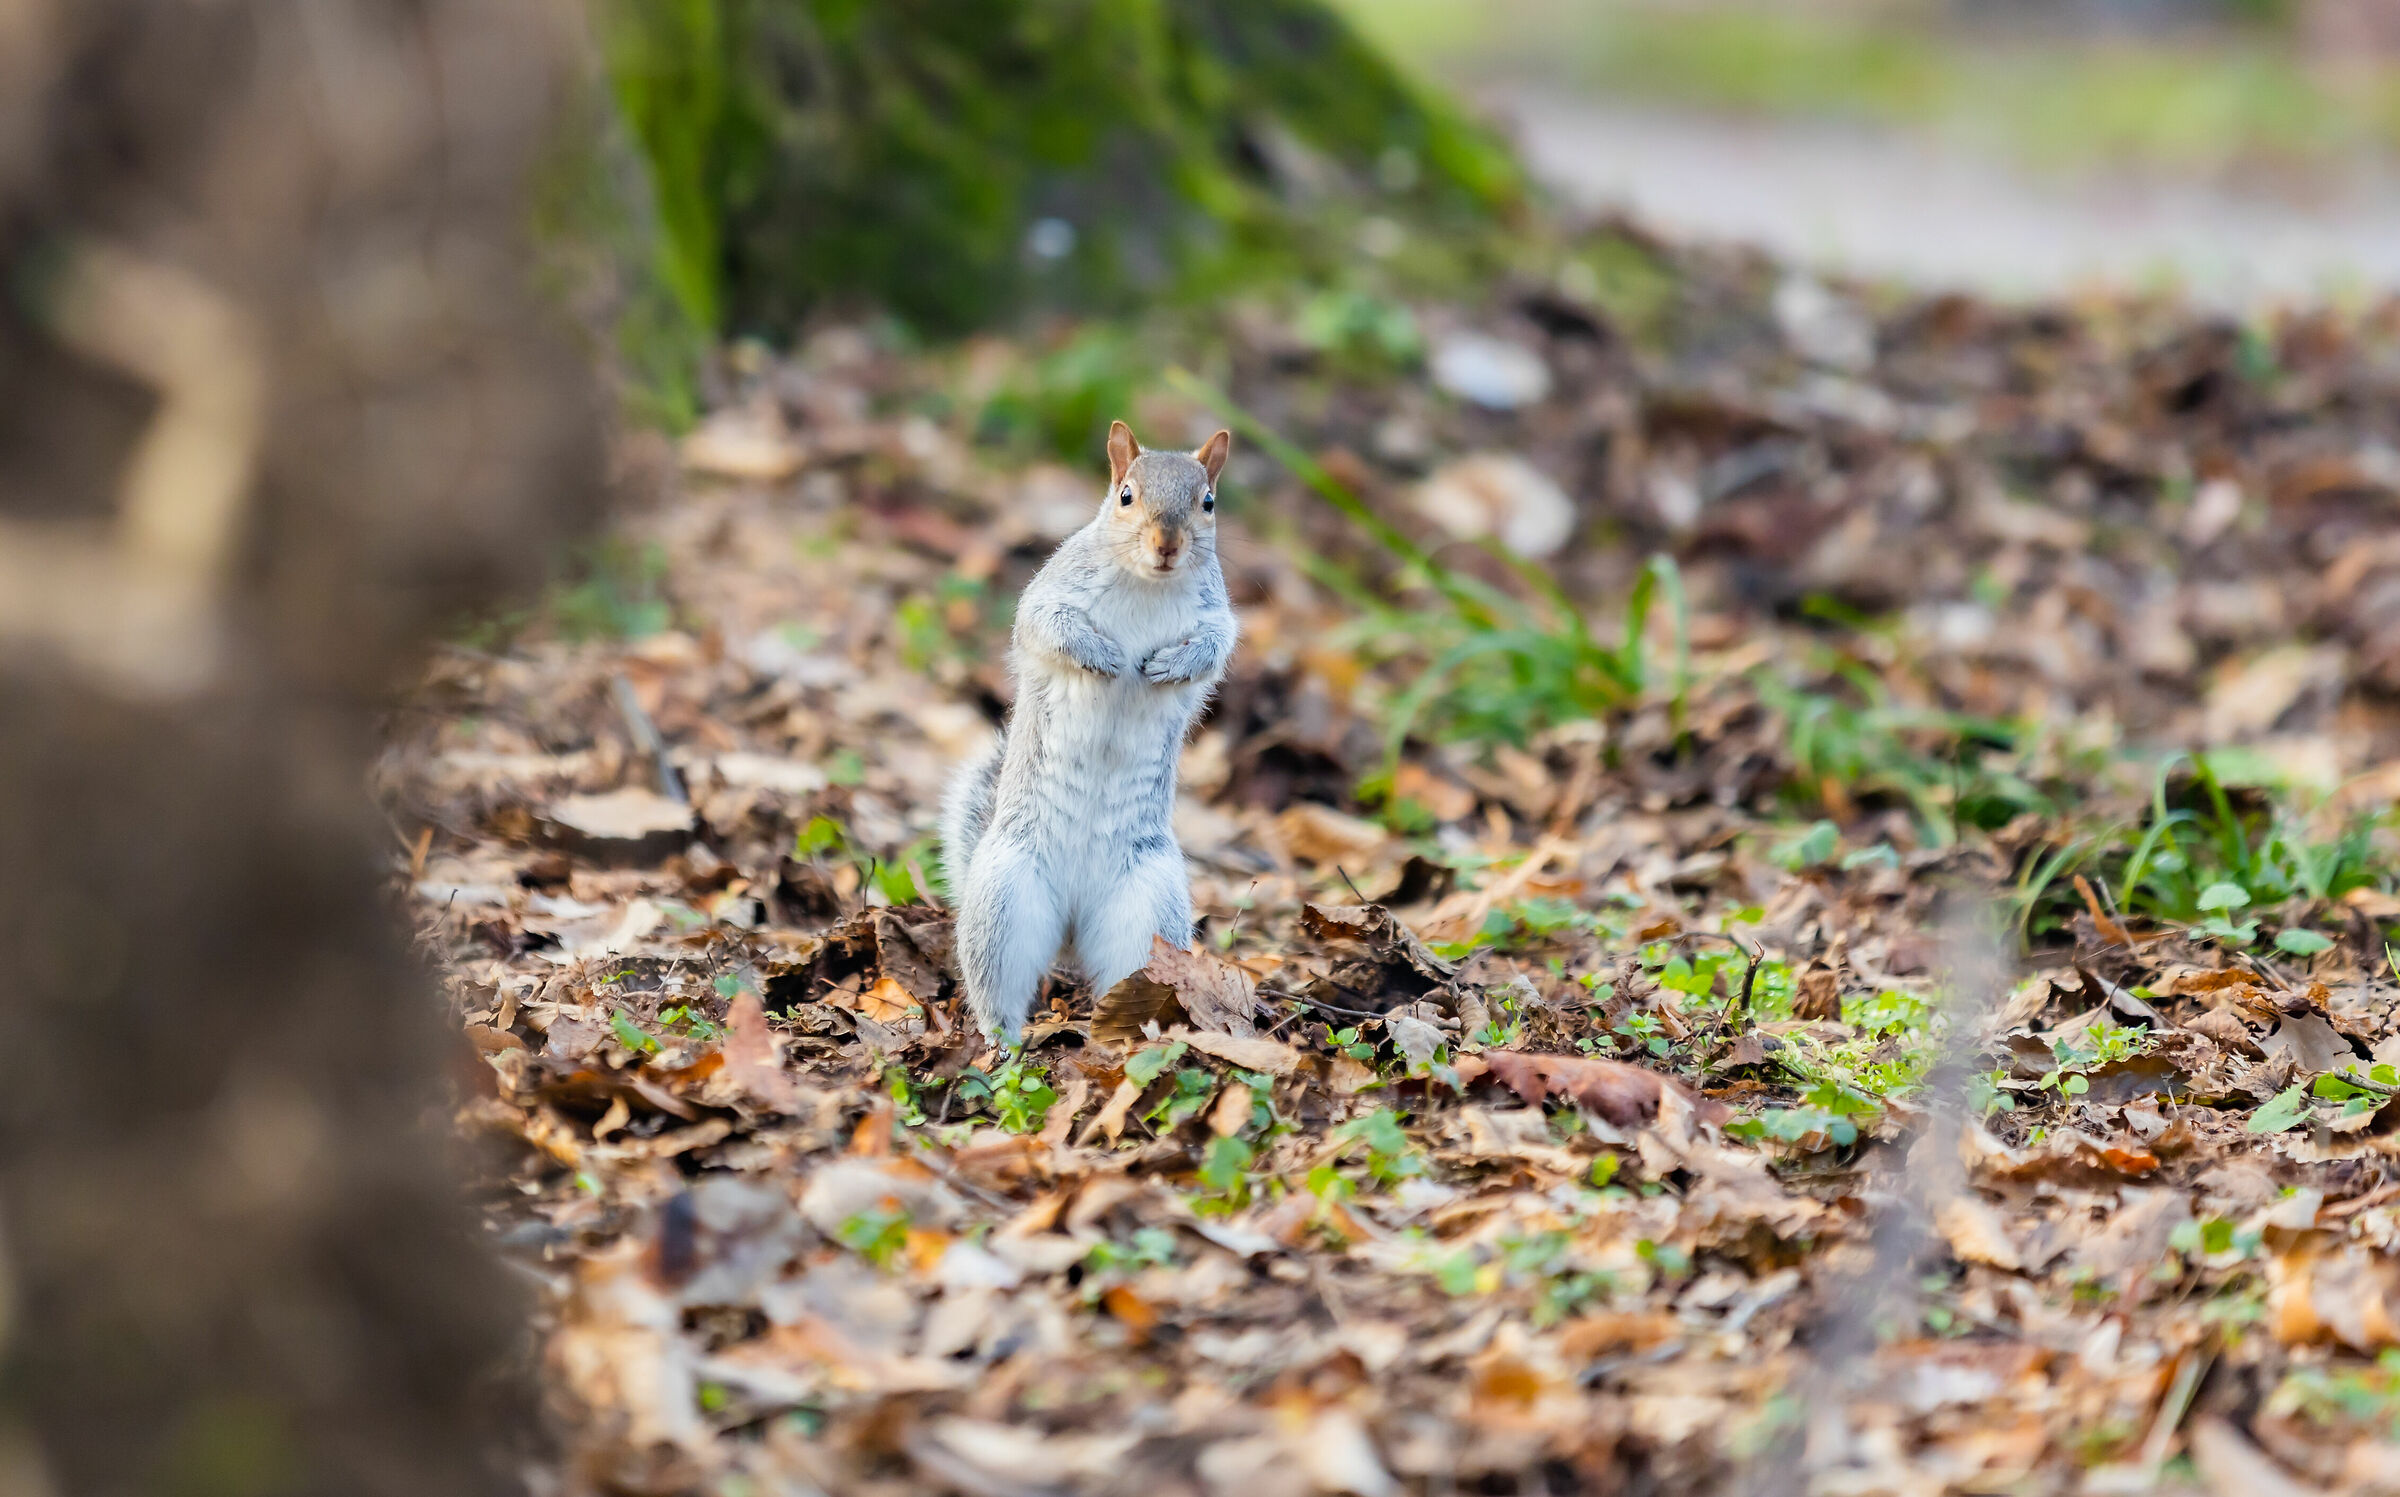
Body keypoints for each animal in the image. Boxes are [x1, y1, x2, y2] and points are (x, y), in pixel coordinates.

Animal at [941, 420, 1238, 1042]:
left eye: (1208, 502)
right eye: (1125, 495)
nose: (1167, 544)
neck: (1147, 584)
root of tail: (1072, 926)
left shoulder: (1215, 617)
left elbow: (1213, 649)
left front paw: (1170, 666)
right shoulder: (1052, 593)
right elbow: (1046, 625)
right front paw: (1102, 655)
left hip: (1147, 914)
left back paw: (1140, 1036)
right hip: (1006, 903)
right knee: (997, 988)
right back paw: (1003, 1042)